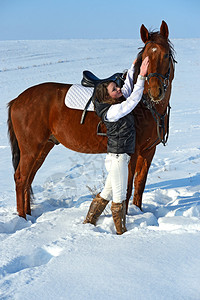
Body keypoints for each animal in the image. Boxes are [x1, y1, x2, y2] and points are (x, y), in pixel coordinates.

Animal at [7, 20, 175, 218]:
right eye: (145, 58)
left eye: (166, 55)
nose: (155, 91)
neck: (145, 105)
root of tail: (17, 100)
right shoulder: (132, 153)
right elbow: (126, 189)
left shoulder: (148, 152)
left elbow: (139, 184)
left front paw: (138, 212)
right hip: (31, 149)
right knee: (21, 178)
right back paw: (23, 218)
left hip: (42, 147)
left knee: (28, 179)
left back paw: (29, 216)